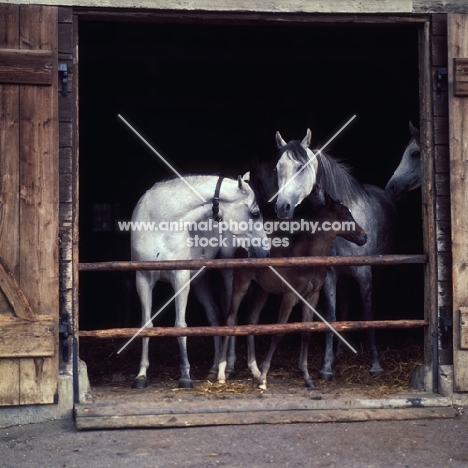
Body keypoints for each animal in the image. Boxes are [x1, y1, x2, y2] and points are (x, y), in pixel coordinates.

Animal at [133, 175, 270, 388]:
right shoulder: (143, 279)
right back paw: (214, 369)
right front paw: (141, 376)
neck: (159, 221)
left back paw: (228, 368)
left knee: (231, 316)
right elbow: (146, 326)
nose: (265, 251)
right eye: (255, 214)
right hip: (199, 279)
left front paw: (185, 377)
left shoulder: (180, 277)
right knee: (214, 315)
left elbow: (180, 326)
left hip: (227, 272)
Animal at [218, 196, 368, 390]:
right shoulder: (290, 296)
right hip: (241, 284)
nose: (364, 236)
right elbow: (279, 332)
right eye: (347, 217)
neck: (307, 256)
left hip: (261, 290)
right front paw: (264, 379)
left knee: (252, 320)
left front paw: (307, 377)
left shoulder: (312, 296)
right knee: (230, 318)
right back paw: (222, 373)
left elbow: (306, 332)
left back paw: (254, 369)